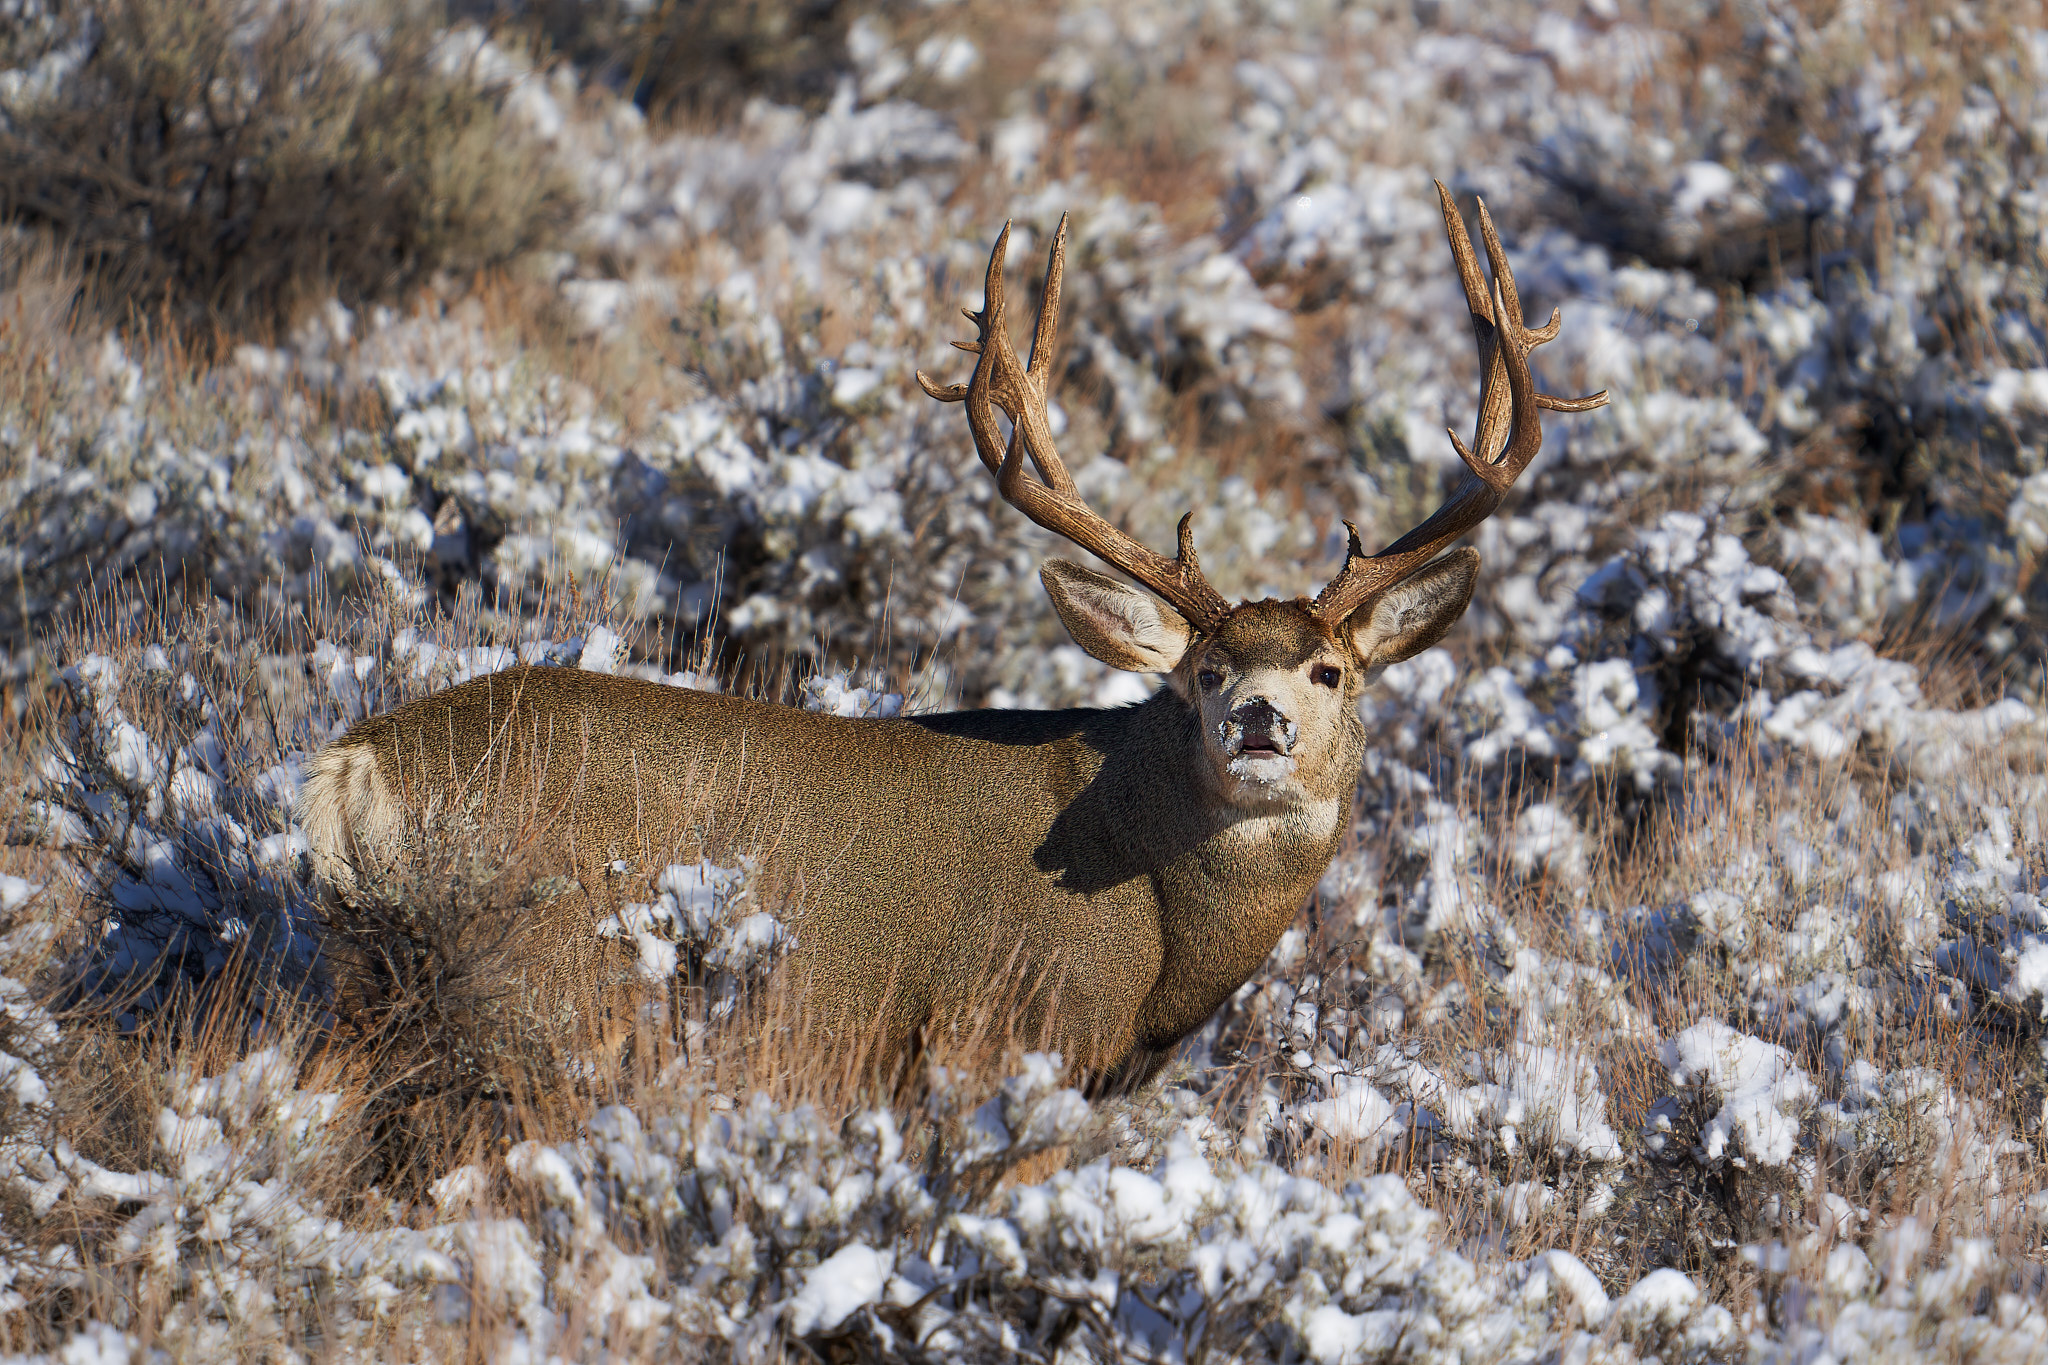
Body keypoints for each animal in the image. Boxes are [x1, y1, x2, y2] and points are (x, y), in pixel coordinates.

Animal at [299, 181, 1605, 1093]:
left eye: (1329, 667)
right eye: (1201, 672)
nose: (1257, 720)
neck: (1161, 944)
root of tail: (351, 764)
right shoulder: (1000, 1037)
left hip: (364, 968)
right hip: (539, 976)